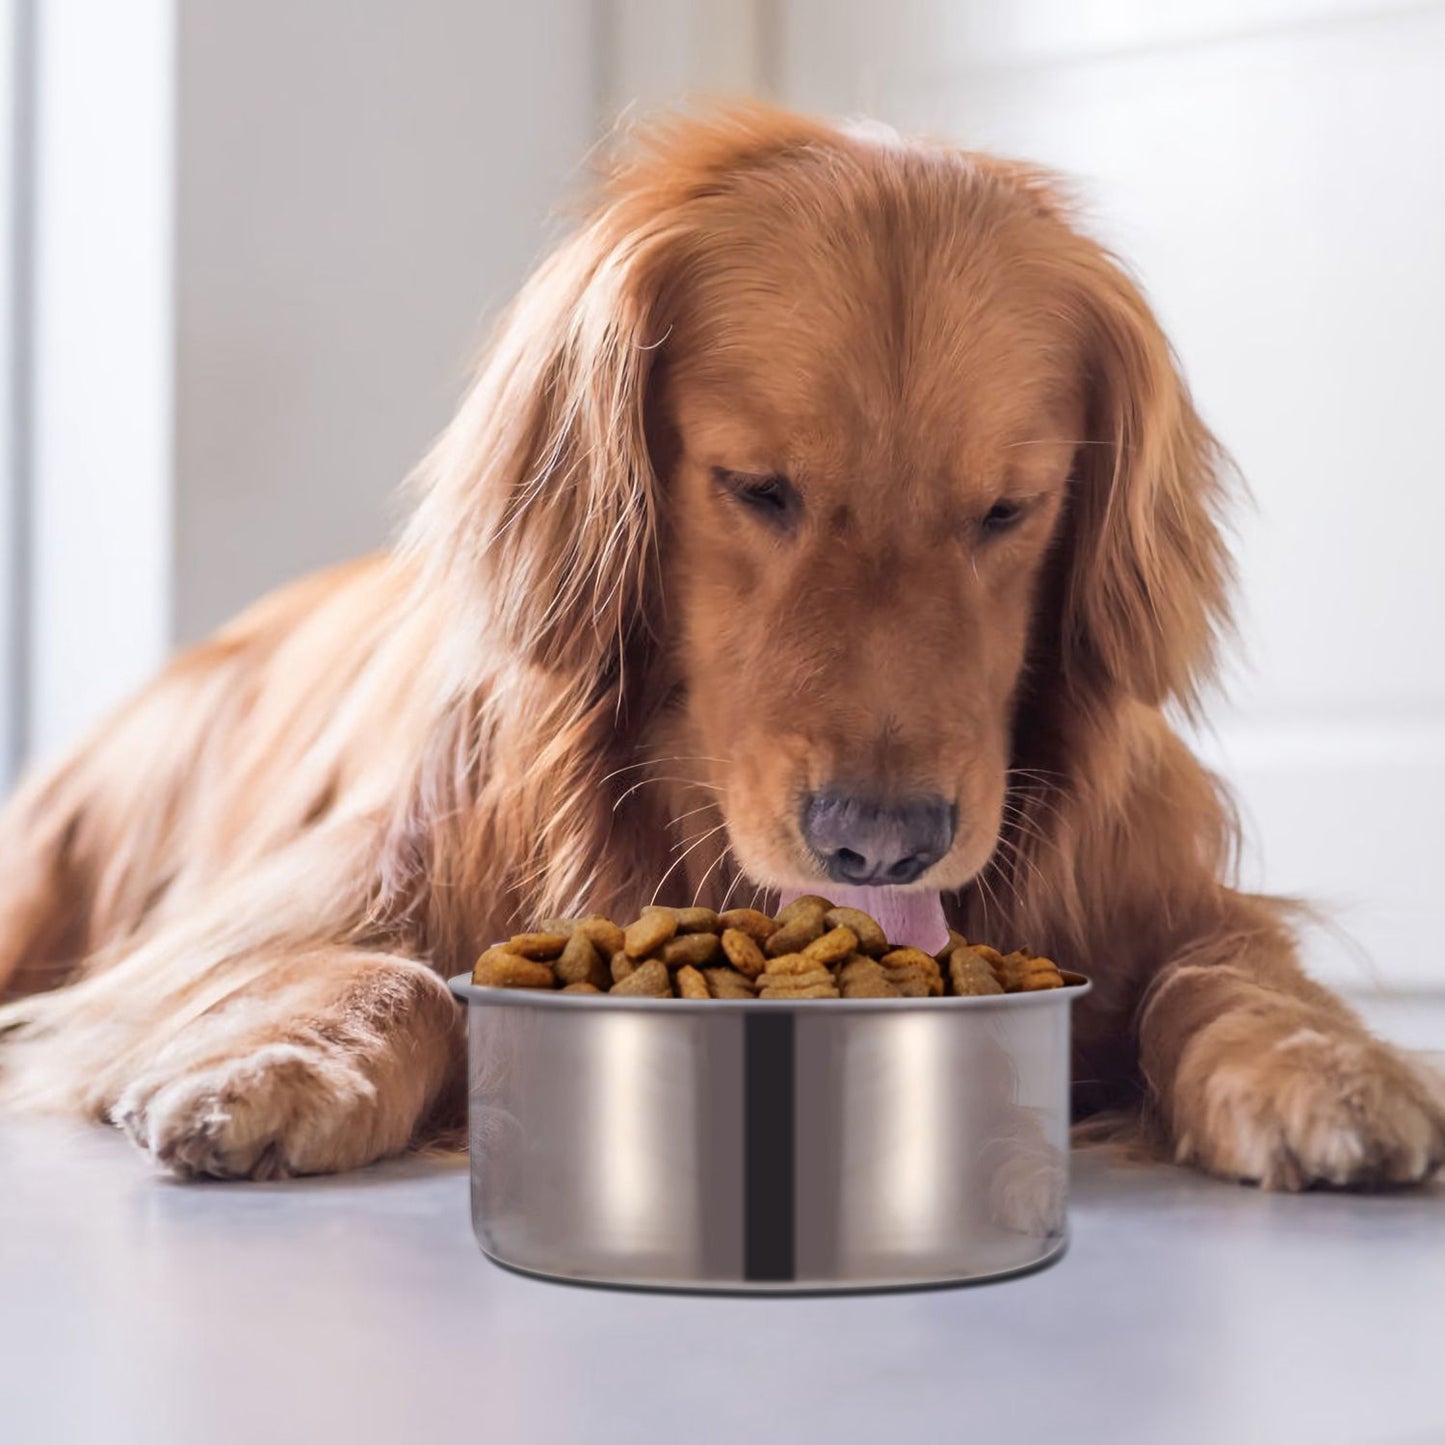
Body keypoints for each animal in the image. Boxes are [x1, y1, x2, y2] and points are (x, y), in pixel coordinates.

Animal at [0, 104, 1439, 1184]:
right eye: (757, 488)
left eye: (1008, 509)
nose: (881, 844)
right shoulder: (272, 911)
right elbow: (385, 968)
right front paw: (281, 1061)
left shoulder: (1167, 895)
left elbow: (1223, 968)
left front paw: (1329, 1063)